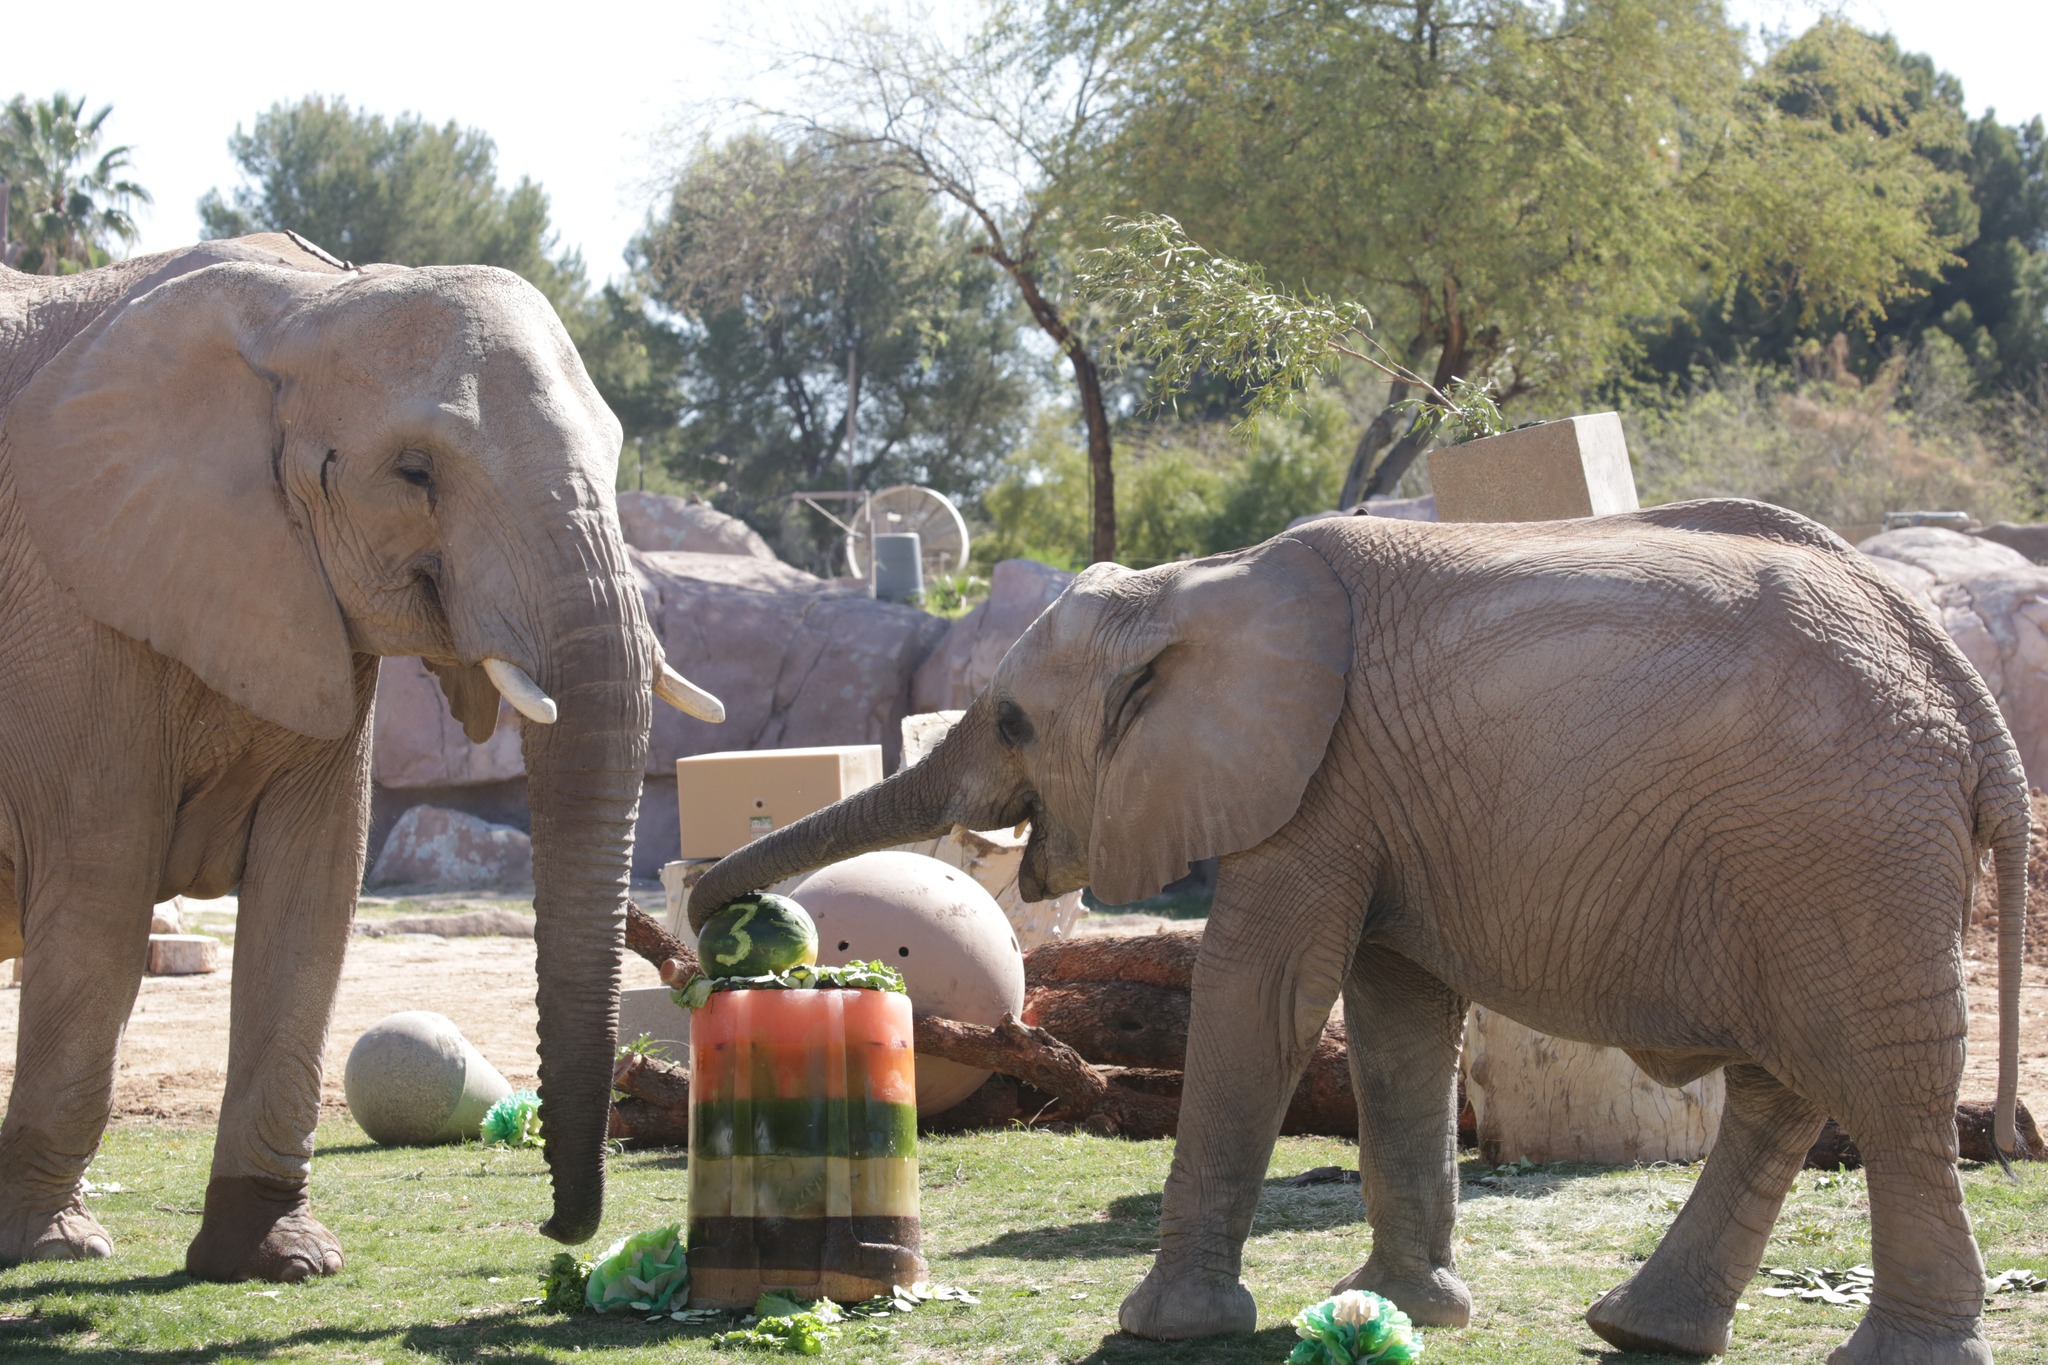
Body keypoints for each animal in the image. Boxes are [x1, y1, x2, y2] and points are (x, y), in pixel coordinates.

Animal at [0, 232, 729, 1285]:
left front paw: (279, 1256)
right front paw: (56, 1244)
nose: (556, 1233)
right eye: (414, 472)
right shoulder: (69, 611)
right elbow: (100, 897)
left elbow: (314, 888)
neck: (304, 303)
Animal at [688, 501, 2031, 1365]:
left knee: (1880, 1083)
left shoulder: (1311, 785)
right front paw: (1395, 1310)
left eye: (1014, 721)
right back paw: (1637, 1330)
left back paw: (1893, 1355)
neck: (1197, 584)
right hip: (1822, 855)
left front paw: (1160, 1328)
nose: (725, 921)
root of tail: (1966, 691)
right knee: (1787, 1080)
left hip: (1845, 842)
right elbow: (1392, 1016)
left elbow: (1268, 995)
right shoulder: (1371, 793)